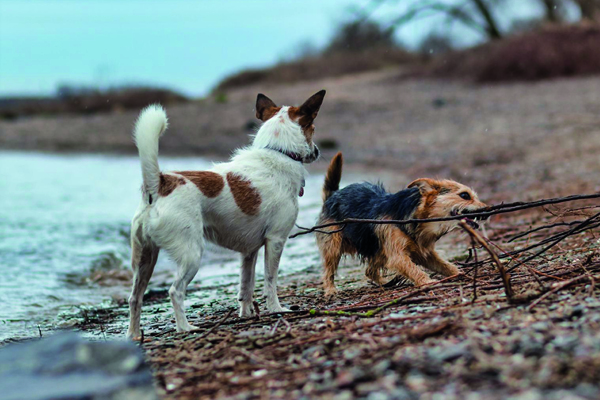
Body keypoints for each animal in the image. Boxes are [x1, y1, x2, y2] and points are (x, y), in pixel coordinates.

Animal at [124, 90, 326, 338]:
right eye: (312, 128)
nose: (317, 152)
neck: (278, 152)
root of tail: (160, 183)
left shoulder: (249, 252)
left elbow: (246, 286)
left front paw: (246, 314)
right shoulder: (276, 241)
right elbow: (270, 281)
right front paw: (276, 309)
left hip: (144, 259)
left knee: (135, 298)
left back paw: (133, 335)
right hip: (191, 255)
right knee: (175, 291)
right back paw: (185, 328)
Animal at [316, 153, 486, 296]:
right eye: (464, 195)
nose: (487, 209)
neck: (418, 219)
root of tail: (332, 195)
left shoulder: (425, 254)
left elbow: (444, 265)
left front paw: (458, 273)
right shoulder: (397, 255)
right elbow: (414, 269)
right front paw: (428, 282)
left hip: (378, 250)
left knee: (369, 271)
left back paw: (385, 282)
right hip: (333, 246)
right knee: (328, 271)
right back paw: (330, 290)